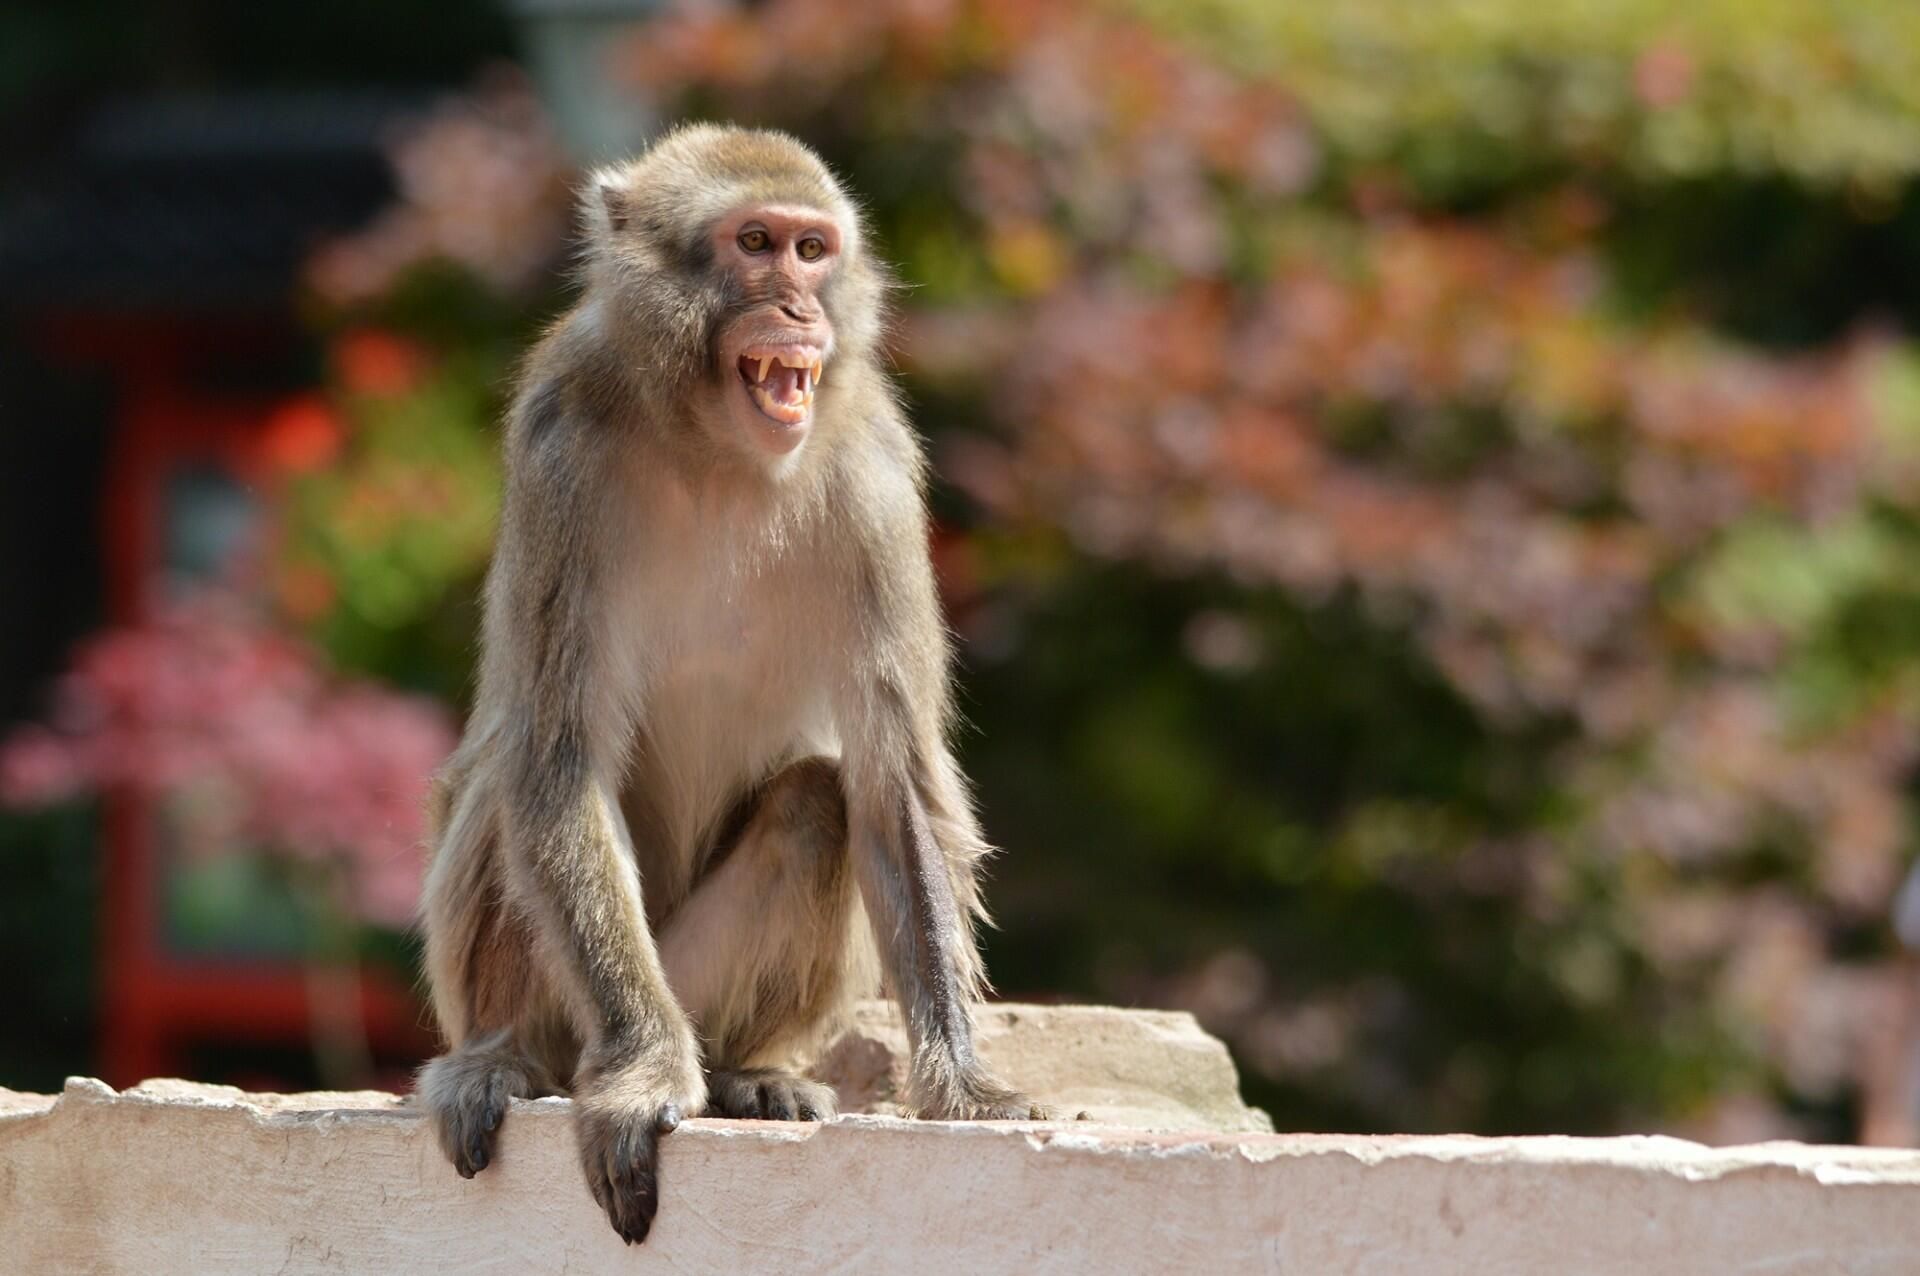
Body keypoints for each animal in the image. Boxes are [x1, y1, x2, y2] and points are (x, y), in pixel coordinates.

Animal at [413, 123, 1036, 1245]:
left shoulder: (878, 476)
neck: (715, 447)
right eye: (754, 244)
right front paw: (643, 1078)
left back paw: (749, 1073)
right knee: (509, 777)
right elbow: (560, 756)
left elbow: (891, 779)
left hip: (698, 979)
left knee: (818, 802)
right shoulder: (560, 450)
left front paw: (962, 1083)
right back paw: (504, 1058)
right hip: (589, 1004)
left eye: (812, 250)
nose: (797, 308)